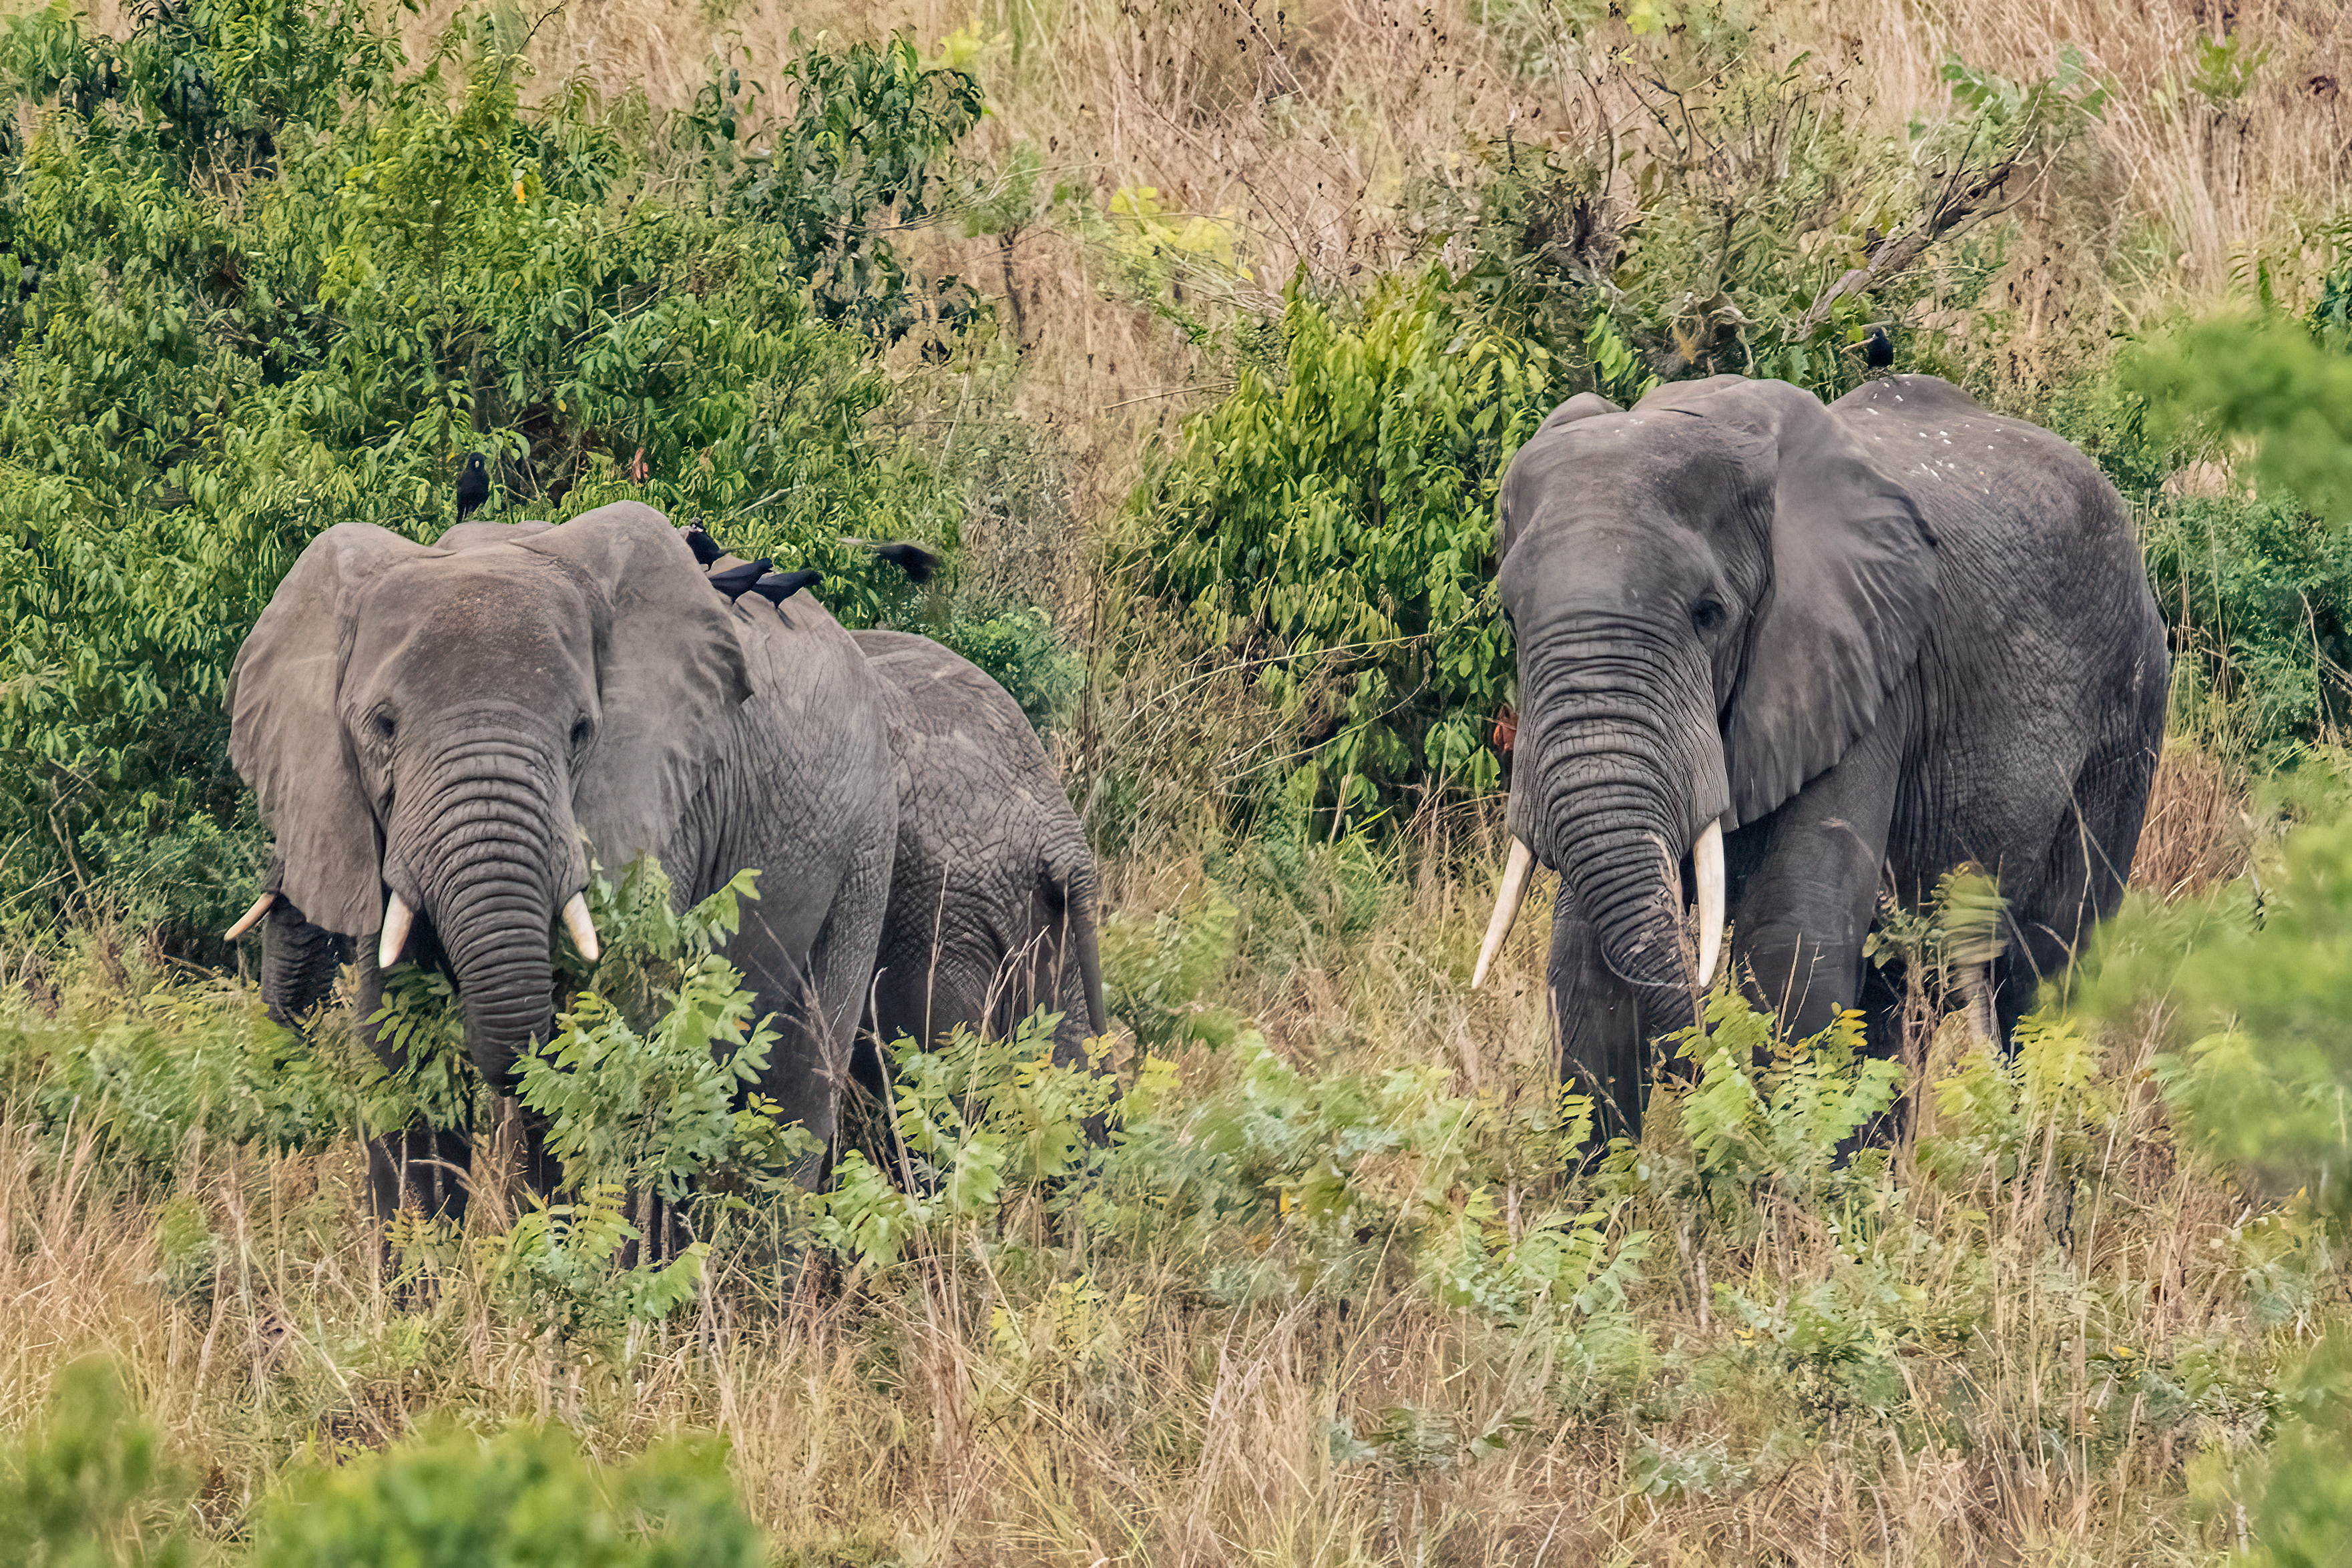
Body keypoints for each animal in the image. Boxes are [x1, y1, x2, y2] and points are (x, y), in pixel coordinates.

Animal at [224, 504, 899, 1217]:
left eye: (581, 732)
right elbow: (400, 1055)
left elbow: (615, 1053)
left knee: (797, 1088)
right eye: (381, 726)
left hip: (865, 842)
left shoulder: (666, 802)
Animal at [1471, 373, 2167, 1141]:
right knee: (1894, 1002)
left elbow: (1792, 938)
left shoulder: (1862, 670)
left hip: (2127, 710)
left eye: (1709, 614)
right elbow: (1584, 965)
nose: (1694, 1064)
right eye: (1509, 617)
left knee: (2046, 974)